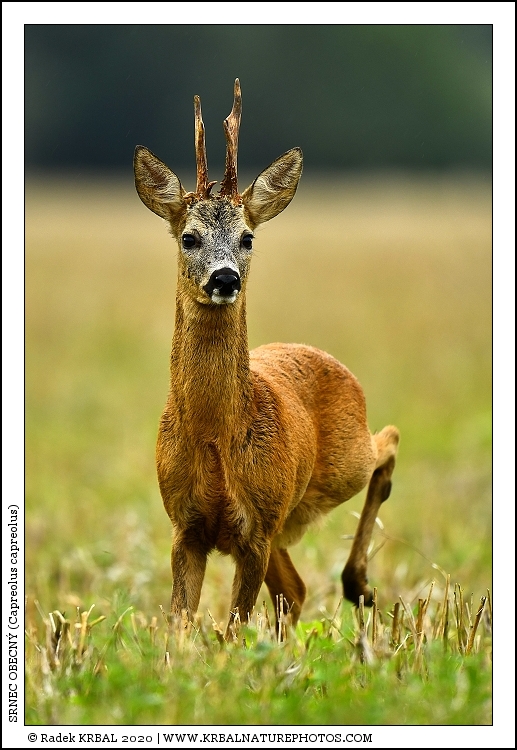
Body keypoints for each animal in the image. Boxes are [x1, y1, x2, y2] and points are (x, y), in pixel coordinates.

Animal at [134, 79, 400, 639]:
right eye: (188, 236)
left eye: (248, 237)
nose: (225, 277)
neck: (215, 438)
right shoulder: (185, 526)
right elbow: (179, 626)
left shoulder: (255, 528)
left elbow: (235, 627)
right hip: (286, 519)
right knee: (293, 592)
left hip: (340, 464)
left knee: (388, 443)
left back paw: (359, 585)